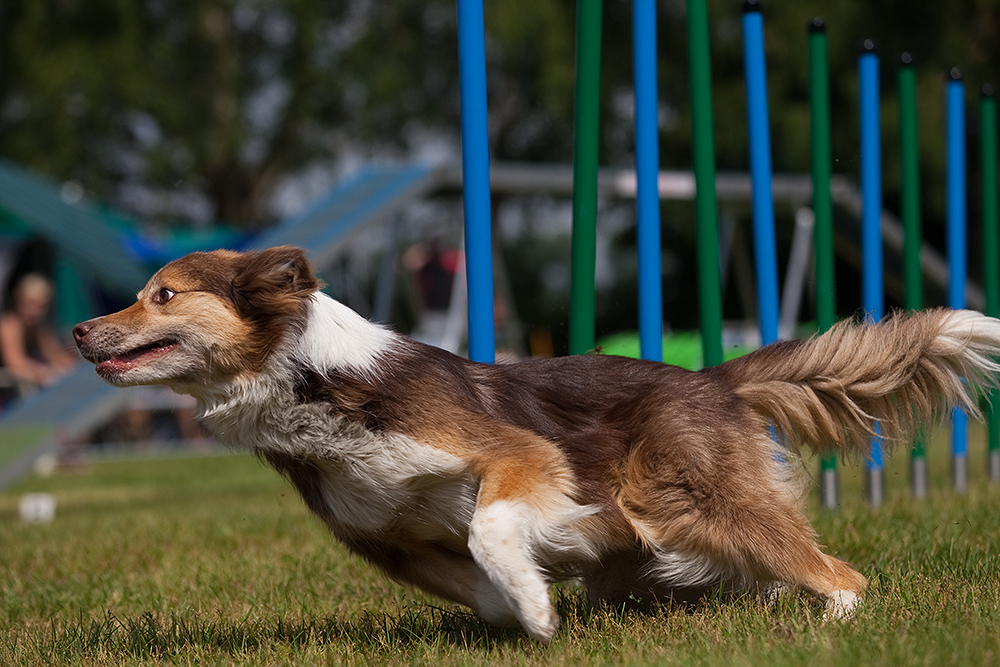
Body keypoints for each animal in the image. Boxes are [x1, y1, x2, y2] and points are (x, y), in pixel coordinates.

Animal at [74, 248, 1000, 644]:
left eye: (161, 295)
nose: (80, 330)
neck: (314, 384)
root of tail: (713, 376)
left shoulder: (522, 458)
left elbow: (491, 526)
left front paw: (540, 609)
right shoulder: (388, 539)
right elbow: (478, 585)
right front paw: (529, 609)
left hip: (674, 497)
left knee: (839, 572)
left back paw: (826, 617)